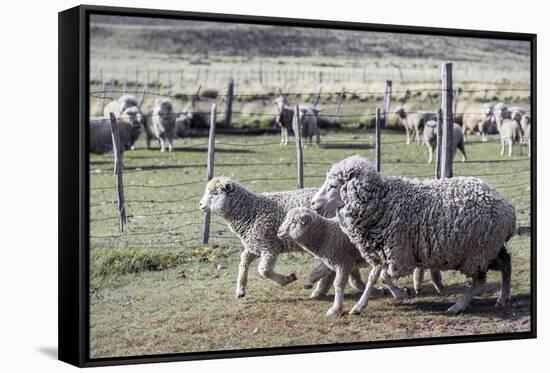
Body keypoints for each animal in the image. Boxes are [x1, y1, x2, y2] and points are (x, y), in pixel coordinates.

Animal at [312, 154, 520, 314]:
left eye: (333, 186)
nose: (313, 203)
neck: (382, 203)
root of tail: (508, 207)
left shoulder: (400, 255)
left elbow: (384, 277)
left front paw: (402, 293)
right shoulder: (382, 252)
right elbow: (373, 278)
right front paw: (359, 306)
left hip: (477, 253)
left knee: (479, 281)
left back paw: (458, 306)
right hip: (490, 248)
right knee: (506, 264)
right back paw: (503, 297)